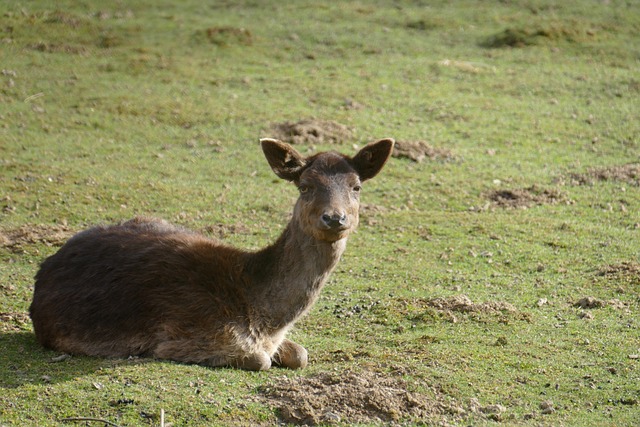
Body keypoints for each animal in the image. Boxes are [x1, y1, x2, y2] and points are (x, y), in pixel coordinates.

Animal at [28, 138, 396, 372]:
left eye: (356, 186)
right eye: (305, 186)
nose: (335, 218)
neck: (263, 319)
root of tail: (45, 268)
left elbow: (301, 354)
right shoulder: (186, 334)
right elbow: (260, 360)